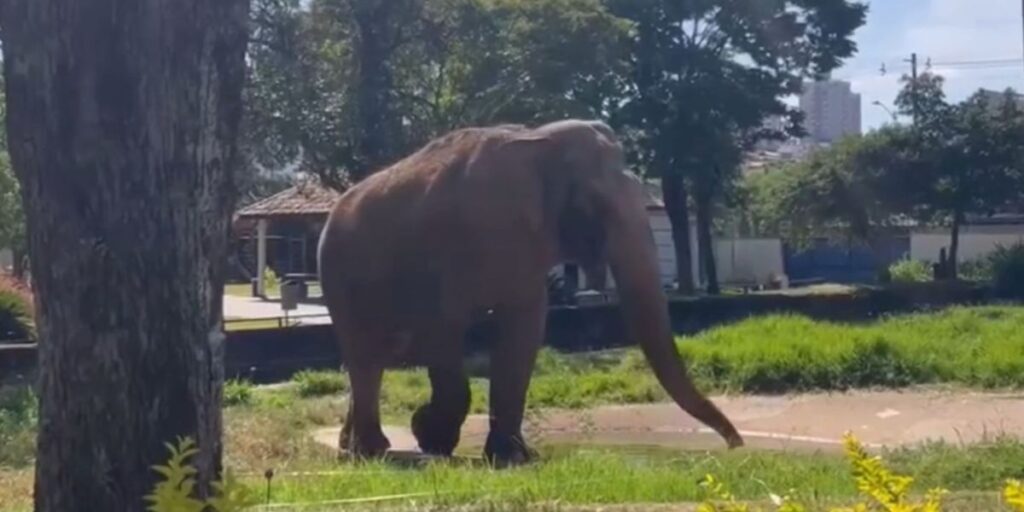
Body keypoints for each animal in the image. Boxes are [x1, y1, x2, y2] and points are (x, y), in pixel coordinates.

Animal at [317, 119, 744, 466]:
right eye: (593, 206)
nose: (735, 444)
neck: (539, 140)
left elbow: (524, 328)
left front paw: (512, 456)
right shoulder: (459, 243)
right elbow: (445, 329)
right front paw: (432, 436)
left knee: (372, 358)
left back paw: (353, 446)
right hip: (338, 274)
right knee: (366, 355)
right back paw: (370, 451)